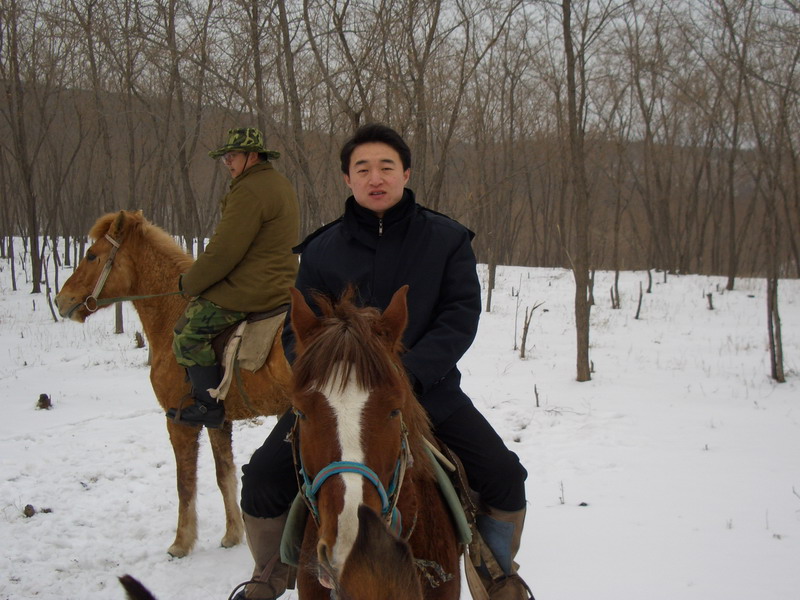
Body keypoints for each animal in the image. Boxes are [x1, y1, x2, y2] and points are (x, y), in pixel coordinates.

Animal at [54, 211, 290, 556]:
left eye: (92, 255)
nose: (61, 300)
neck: (172, 313)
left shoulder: (179, 422)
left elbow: (184, 483)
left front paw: (181, 542)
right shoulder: (219, 421)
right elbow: (224, 475)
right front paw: (232, 534)